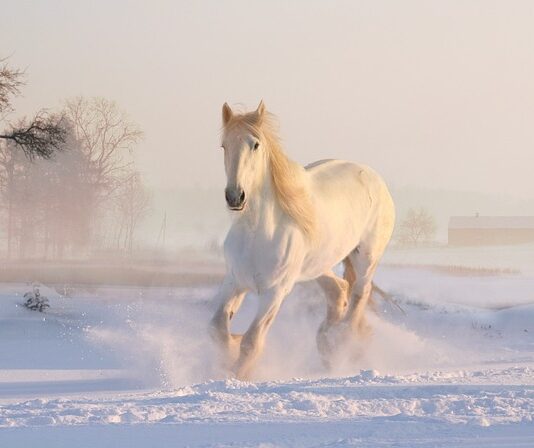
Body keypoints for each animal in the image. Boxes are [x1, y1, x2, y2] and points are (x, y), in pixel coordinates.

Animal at [211, 101, 396, 378]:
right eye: (224, 145)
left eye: (255, 144)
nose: (235, 196)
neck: (257, 233)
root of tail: (373, 177)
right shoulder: (234, 281)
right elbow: (218, 329)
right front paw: (230, 350)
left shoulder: (275, 292)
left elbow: (252, 341)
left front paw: (238, 374)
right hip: (317, 266)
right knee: (339, 290)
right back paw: (327, 343)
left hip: (366, 257)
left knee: (359, 294)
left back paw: (342, 342)